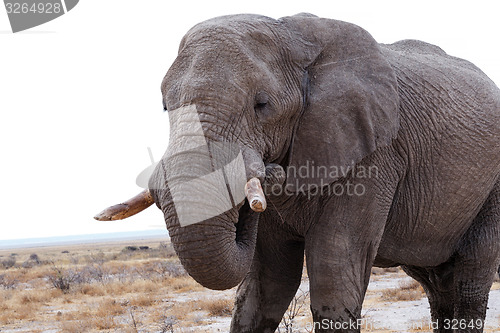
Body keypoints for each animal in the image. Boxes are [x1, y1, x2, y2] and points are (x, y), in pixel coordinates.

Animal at [96, 13, 500, 332]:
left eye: (262, 105)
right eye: (165, 106)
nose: (269, 170)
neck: (289, 34)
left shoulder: (377, 154)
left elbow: (333, 275)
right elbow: (266, 286)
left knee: (470, 279)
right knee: (435, 284)